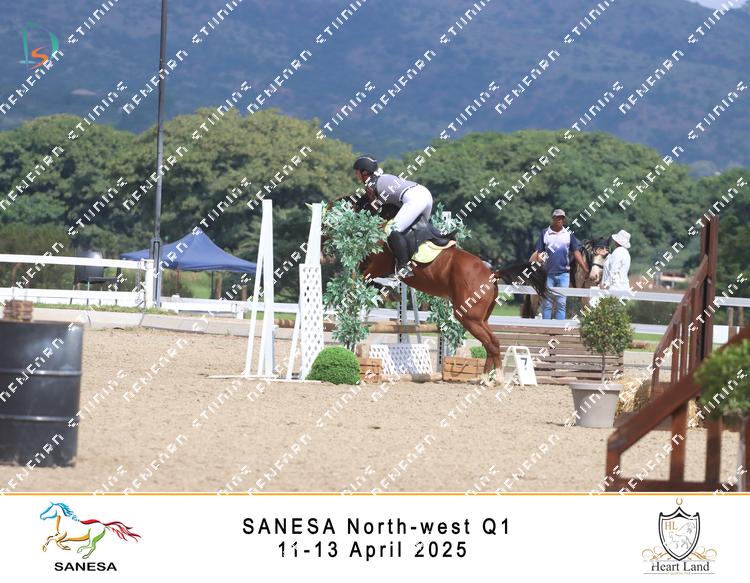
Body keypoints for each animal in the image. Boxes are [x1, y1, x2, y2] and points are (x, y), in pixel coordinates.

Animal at [340, 195, 548, 374]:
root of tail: (492, 274)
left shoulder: (378, 263)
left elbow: (365, 275)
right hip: (481, 319)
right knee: (491, 344)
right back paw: (486, 378)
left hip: (469, 317)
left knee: (492, 344)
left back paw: (494, 379)